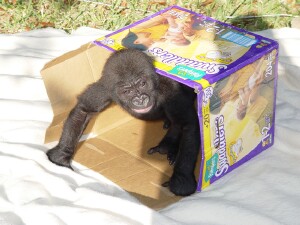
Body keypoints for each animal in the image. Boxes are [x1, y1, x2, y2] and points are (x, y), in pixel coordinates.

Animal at [47, 48, 199, 196]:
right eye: (127, 91)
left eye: (143, 84)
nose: (140, 99)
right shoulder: (104, 88)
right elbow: (83, 110)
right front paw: (61, 155)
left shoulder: (170, 89)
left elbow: (187, 124)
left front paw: (181, 180)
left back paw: (168, 144)